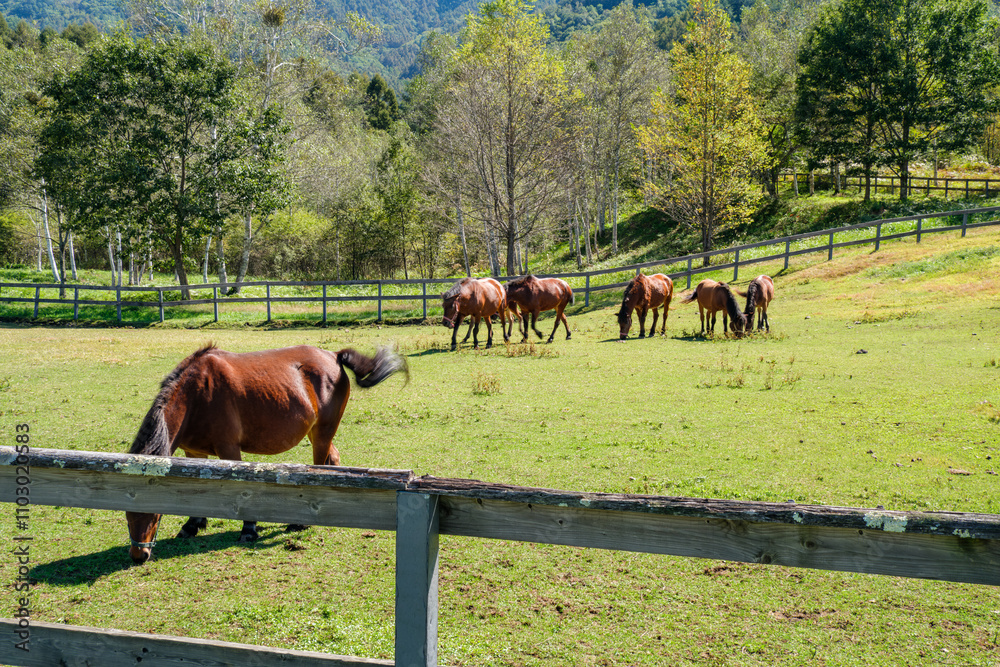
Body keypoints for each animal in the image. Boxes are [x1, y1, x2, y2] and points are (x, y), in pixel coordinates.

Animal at [125, 344, 407, 564]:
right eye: (126, 511)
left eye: (151, 513)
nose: (139, 556)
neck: (197, 395)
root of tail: (333, 355)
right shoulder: (193, 452)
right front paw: (193, 524)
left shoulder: (229, 449)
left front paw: (249, 529)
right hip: (315, 432)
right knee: (332, 460)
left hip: (322, 433)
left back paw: (303, 521)